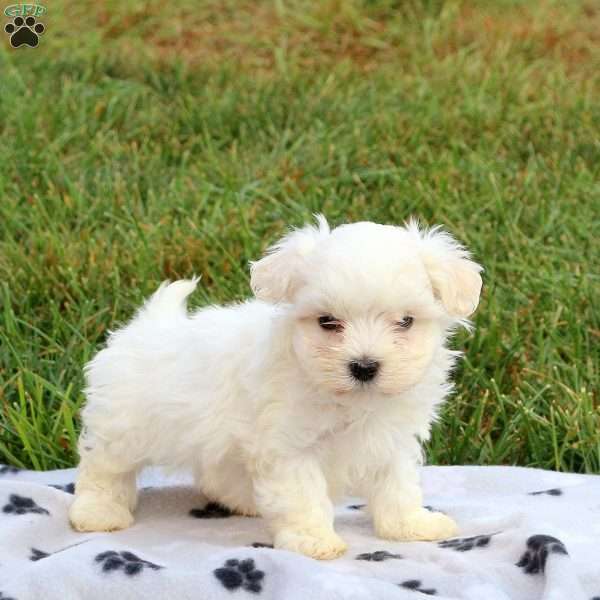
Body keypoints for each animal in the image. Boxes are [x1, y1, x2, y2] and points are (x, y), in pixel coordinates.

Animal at [69, 218, 482, 560]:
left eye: (406, 321)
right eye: (327, 321)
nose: (364, 367)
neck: (347, 401)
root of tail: (148, 325)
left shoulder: (390, 440)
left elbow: (398, 487)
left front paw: (411, 526)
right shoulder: (290, 446)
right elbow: (304, 496)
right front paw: (314, 540)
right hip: (124, 424)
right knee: (103, 468)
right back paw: (98, 512)